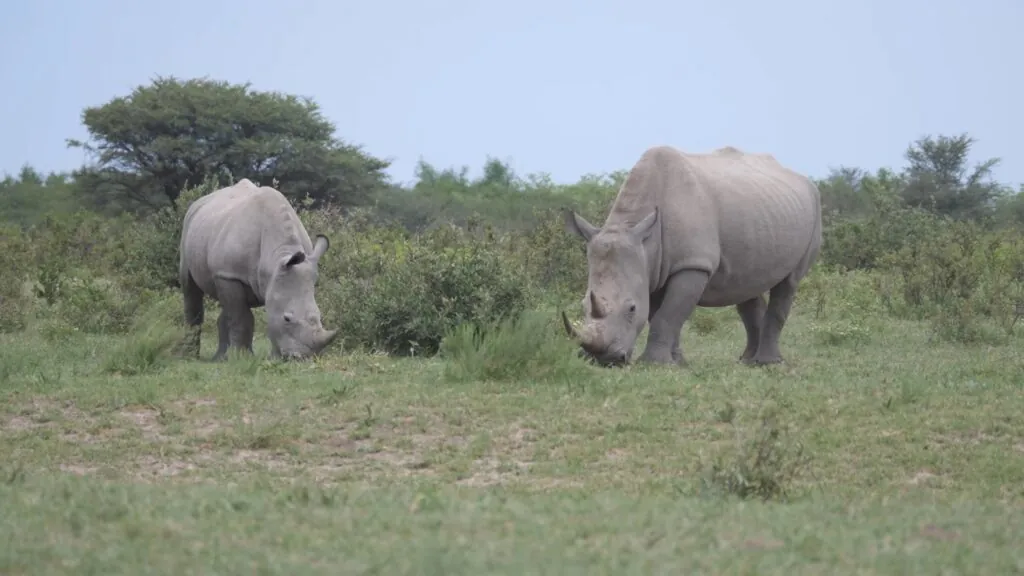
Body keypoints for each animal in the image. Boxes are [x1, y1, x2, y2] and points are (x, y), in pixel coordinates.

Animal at [176, 179, 335, 358]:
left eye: (319, 317)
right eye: (287, 318)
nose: (304, 357)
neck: (279, 254)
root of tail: (198, 203)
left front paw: (272, 358)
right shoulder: (229, 275)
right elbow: (241, 318)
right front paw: (241, 357)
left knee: (226, 306)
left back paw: (220, 358)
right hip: (189, 229)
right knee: (190, 288)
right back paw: (191, 355)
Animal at [565, 145, 819, 364]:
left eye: (631, 309)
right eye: (583, 304)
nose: (603, 359)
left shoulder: (693, 264)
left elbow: (667, 315)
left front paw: (655, 363)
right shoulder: (652, 268)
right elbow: (661, 314)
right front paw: (677, 363)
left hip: (811, 211)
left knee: (789, 282)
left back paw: (768, 363)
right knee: (746, 285)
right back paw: (747, 362)